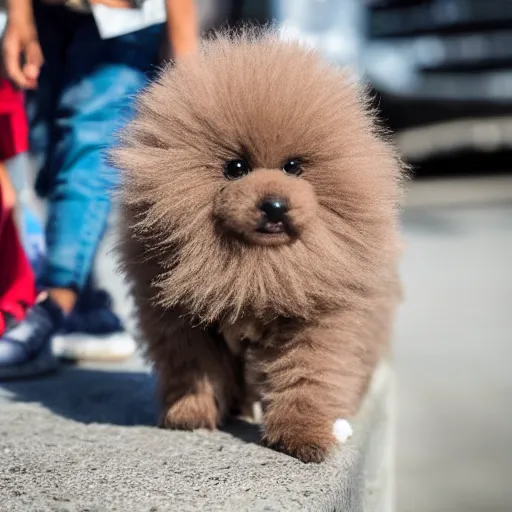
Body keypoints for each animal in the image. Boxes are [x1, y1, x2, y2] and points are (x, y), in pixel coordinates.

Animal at [112, 31, 404, 464]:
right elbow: (193, 366)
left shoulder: (317, 320)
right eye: (236, 168)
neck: (257, 271)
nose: (274, 205)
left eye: (294, 167)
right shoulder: (181, 320)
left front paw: (304, 436)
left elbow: (307, 377)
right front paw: (191, 413)